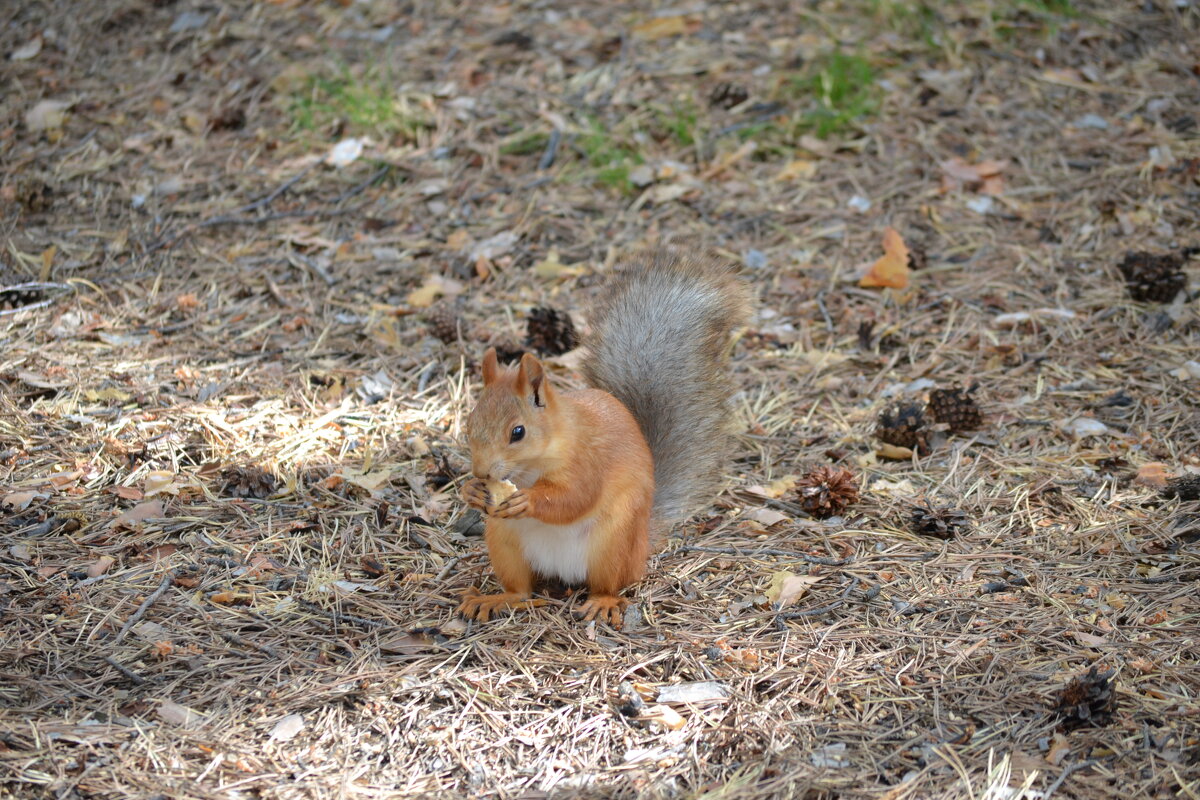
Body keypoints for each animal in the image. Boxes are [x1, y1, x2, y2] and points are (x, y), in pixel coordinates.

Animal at [453, 248, 744, 623]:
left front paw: (528, 500)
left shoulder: (588, 459)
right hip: (504, 542)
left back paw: (603, 602)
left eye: (518, 432)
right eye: (469, 424)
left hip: (613, 544)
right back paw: (495, 599)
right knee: (521, 590)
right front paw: (471, 490)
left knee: (609, 584)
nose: (481, 472)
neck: (535, 463)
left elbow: (576, 497)